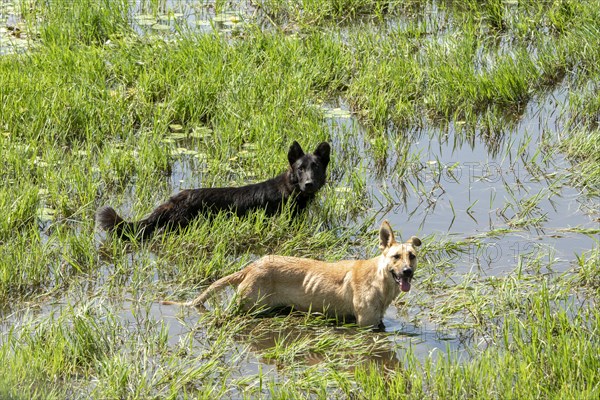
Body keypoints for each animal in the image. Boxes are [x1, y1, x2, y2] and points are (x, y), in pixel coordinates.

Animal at [161, 220, 422, 326]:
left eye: (412, 256)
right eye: (395, 257)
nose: (407, 272)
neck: (381, 280)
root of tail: (251, 266)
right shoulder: (366, 324)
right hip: (246, 305)